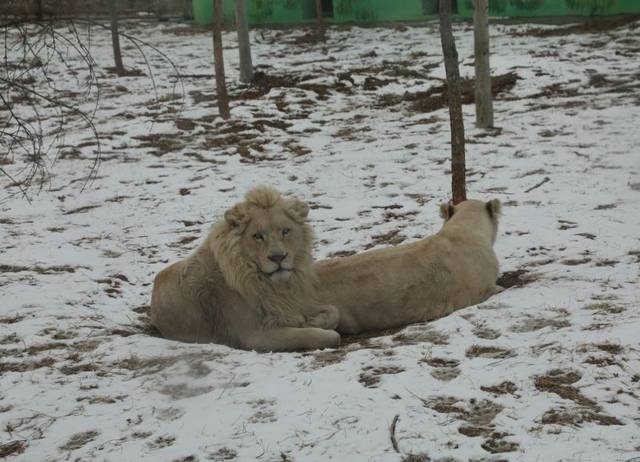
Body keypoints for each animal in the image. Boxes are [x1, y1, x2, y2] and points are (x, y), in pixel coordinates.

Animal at [150, 186, 340, 352]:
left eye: (285, 231)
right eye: (258, 236)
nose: (278, 257)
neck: (272, 286)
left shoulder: (293, 303)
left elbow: (333, 310)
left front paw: (315, 321)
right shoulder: (254, 336)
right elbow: (318, 336)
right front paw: (312, 327)